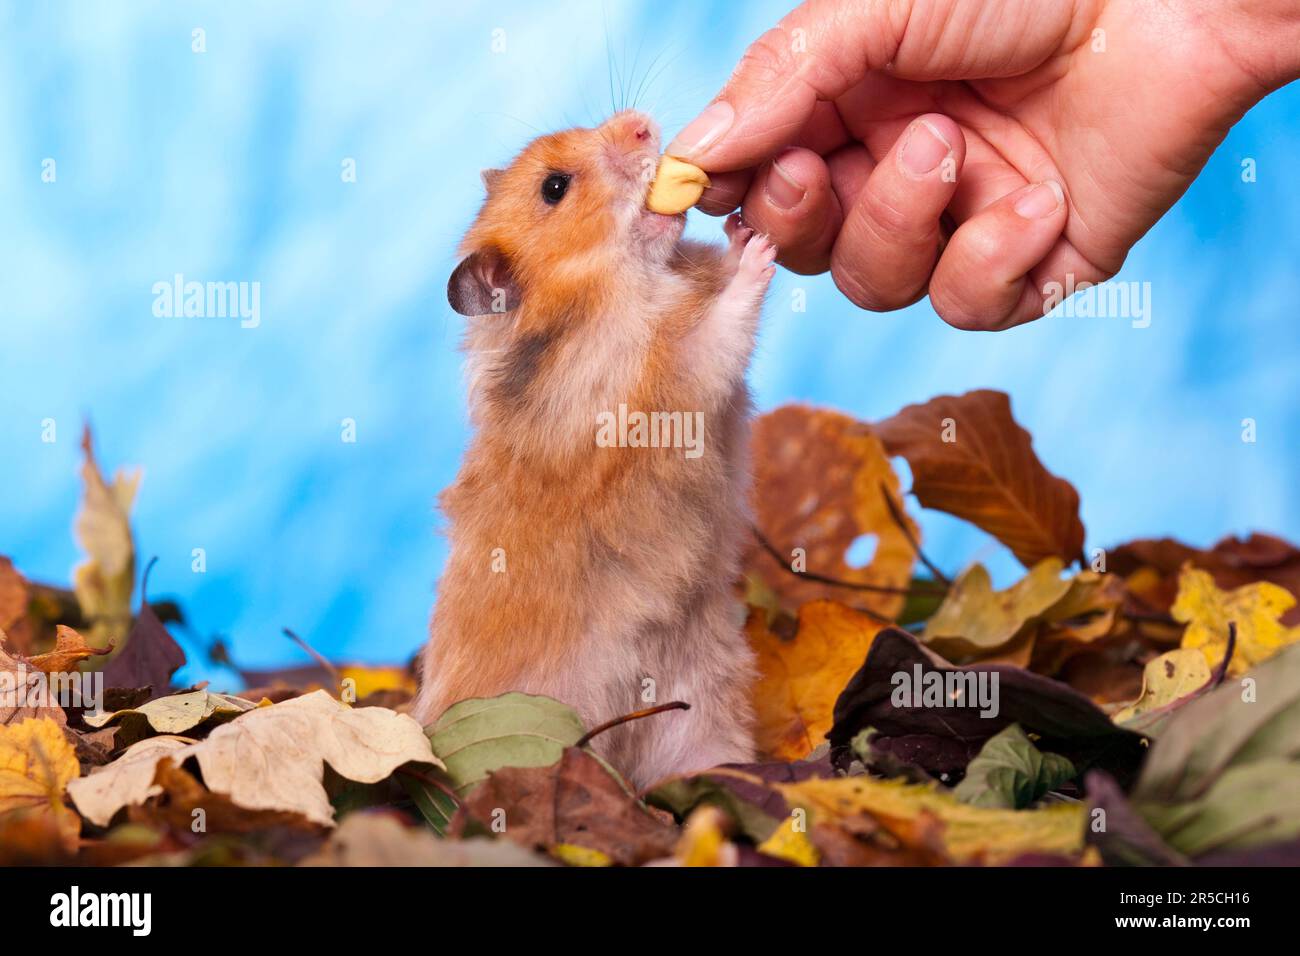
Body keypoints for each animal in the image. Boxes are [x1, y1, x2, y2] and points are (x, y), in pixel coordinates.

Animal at [413, 108, 769, 790]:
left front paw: (741, 229)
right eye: (555, 187)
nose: (642, 124)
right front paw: (761, 252)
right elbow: (720, 329)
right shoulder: (673, 383)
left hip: (706, 698)